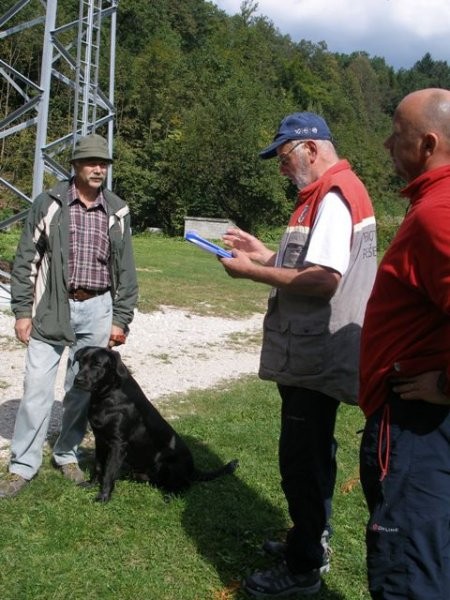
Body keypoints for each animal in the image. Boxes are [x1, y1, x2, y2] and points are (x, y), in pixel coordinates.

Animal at [72, 346, 239, 502]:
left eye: (97, 364)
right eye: (81, 362)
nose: (77, 380)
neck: (106, 395)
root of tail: (192, 469)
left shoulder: (117, 444)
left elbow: (108, 473)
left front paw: (103, 497)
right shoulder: (100, 439)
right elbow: (99, 466)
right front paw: (91, 484)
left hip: (169, 464)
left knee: (185, 485)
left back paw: (171, 496)